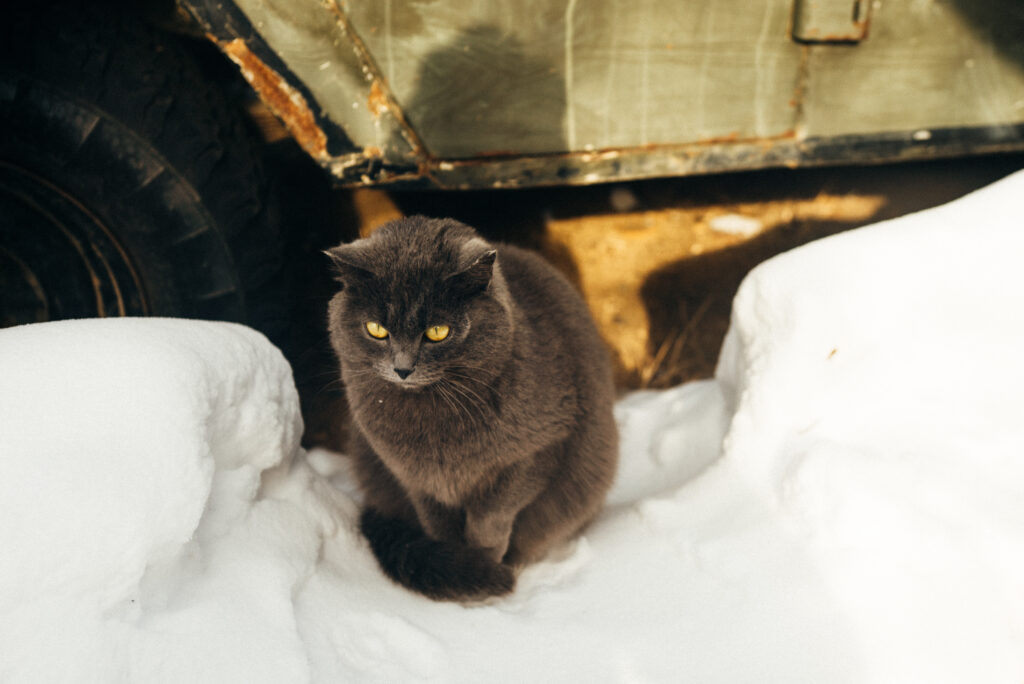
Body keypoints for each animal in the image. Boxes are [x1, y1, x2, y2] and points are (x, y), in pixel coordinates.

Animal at [325, 216, 614, 602]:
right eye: (376, 329)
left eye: (438, 331)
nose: (402, 368)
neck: (431, 425)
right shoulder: (413, 477)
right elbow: (437, 524)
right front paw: (462, 565)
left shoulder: (537, 451)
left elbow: (492, 517)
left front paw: (486, 564)